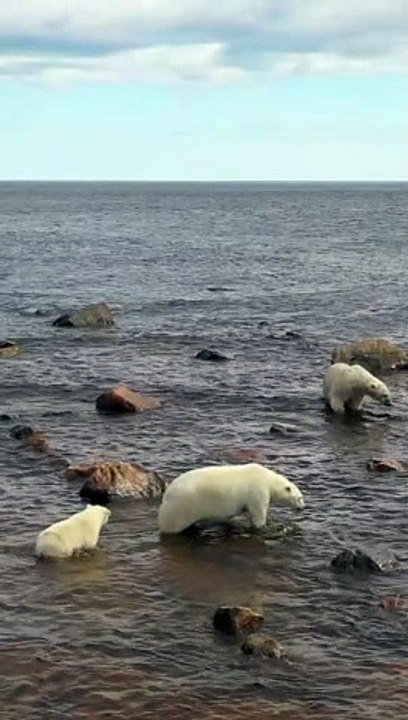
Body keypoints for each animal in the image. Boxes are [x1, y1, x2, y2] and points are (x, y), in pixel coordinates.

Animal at [158, 462, 304, 534]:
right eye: (300, 498)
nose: (302, 508)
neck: (268, 479)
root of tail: (167, 494)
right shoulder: (258, 492)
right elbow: (258, 514)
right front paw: (267, 527)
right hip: (182, 507)